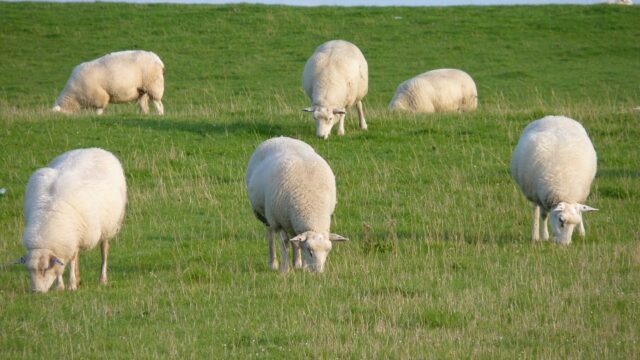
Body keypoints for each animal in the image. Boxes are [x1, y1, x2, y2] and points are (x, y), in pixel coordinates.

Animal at [17, 148, 127, 292]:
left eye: (45, 269)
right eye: (29, 270)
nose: (36, 292)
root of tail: (94, 148)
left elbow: (73, 260)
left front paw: (71, 284)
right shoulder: (67, 240)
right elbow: (63, 264)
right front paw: (61, 286)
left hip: (108, 226)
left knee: (104, 250)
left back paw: (102, 279)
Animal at [245, 136, 348, 272]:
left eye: (327, 251)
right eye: (310, 251)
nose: (319, 272)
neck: (312, 206)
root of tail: (279, 137)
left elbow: (297, 242)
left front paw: (301, 267)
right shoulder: (278, 221)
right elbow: (284, 243)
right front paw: (285, 269)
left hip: (290, 221)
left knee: (294, 239)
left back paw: (296, 263)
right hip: (266, 216)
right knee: (270, 235)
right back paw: (273, 263)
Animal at [510, 115, 600, 245]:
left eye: (574, 224)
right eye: (561, 220)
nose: (564, 244)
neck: (563, 189)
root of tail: (555, 117)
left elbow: (579, 211)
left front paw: (581, 233)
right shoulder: (541, 196)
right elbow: (543, 215)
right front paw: (545, 236)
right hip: (533, 193)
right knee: (535, 212)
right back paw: (535, 236)